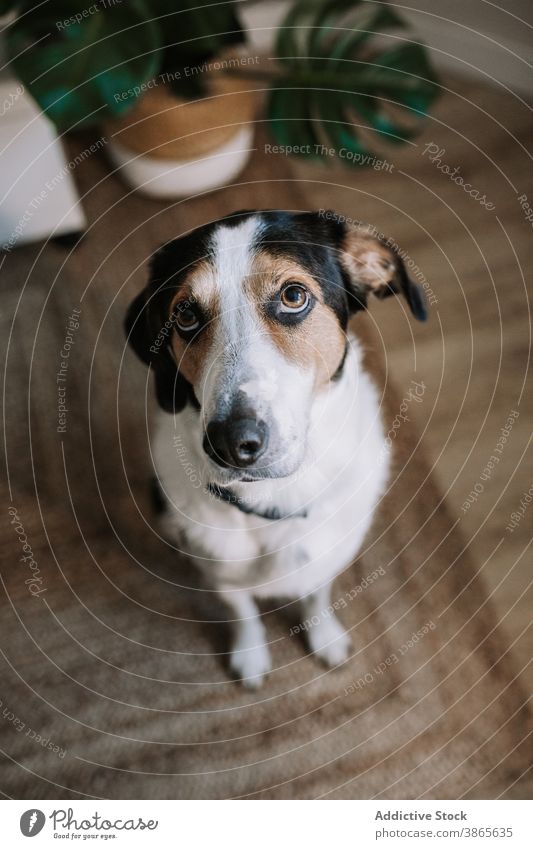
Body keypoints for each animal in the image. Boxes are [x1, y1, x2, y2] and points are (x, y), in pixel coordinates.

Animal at [123, 210, 424, 688]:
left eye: (293, 296)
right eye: (185, 314)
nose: (231, 443)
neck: (272, 500)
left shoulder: (326, 558)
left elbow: (316, 597)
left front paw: (324, 637)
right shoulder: (223, 576)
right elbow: (244, 614)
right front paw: (251, 656)